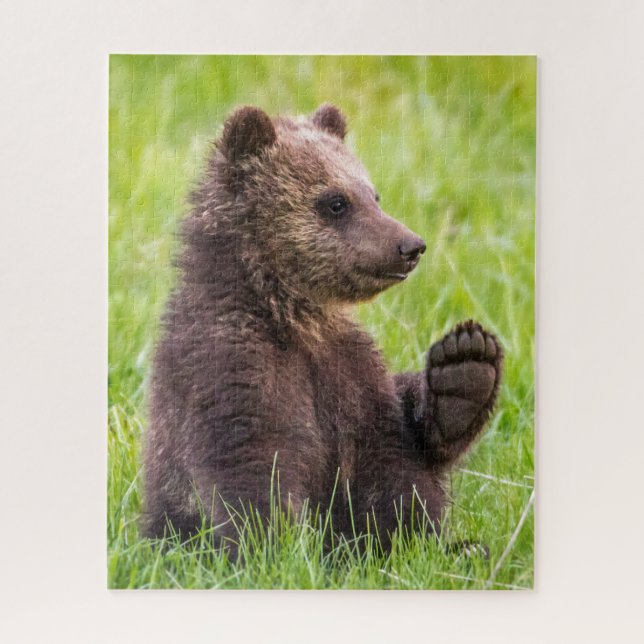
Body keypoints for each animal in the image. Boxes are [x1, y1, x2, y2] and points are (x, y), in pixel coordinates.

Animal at [142, 104, 503, 554]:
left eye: (373, 194)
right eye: (335, 202)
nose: (411, 245)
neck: (293, 315)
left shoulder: (350, 370)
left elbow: (394, 459)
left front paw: (465, 368)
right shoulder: (231, 361)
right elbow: (252, 461)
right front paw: (275, 545)